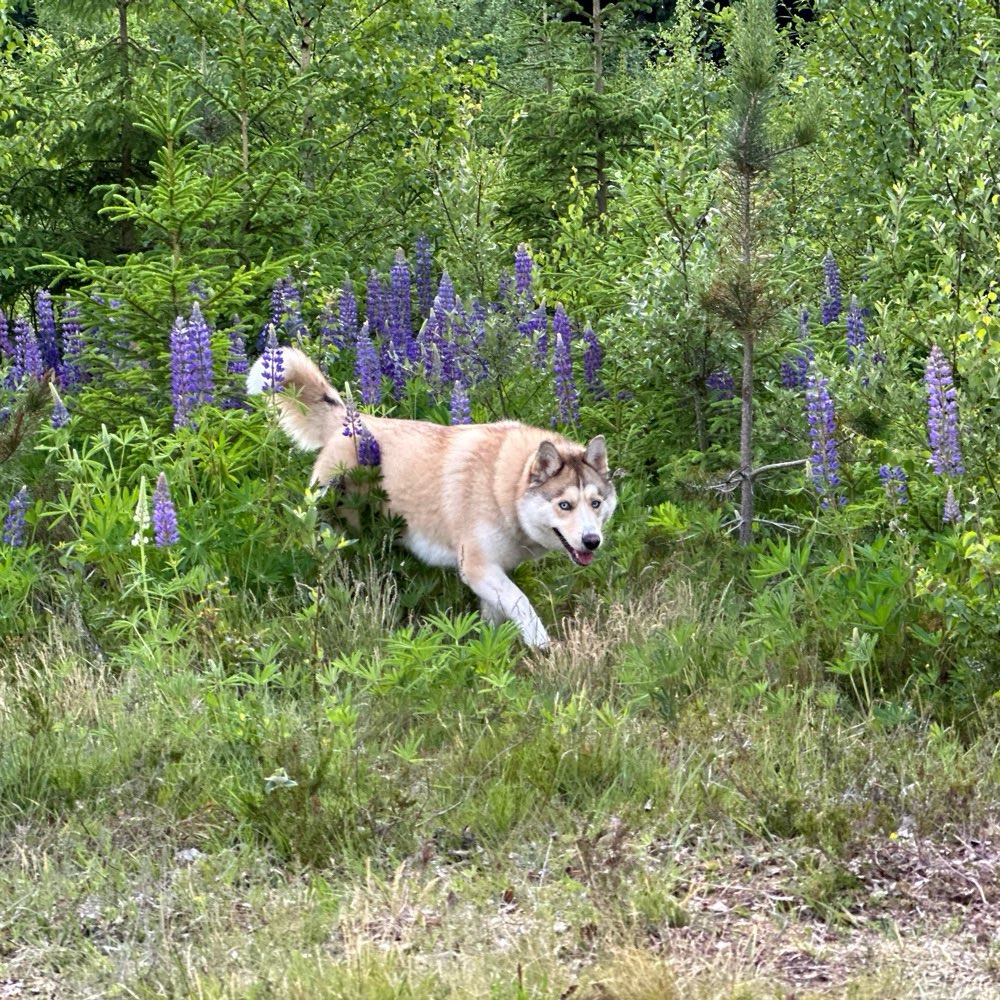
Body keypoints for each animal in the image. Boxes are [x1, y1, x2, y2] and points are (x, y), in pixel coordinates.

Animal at [246, 350, 612, 648]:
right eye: (564, 505)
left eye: (596, 504)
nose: (592, 541)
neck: (502, 487)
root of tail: (350, 421)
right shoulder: (477, 568)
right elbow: (522, 604)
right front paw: (542, 646)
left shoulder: (492, 573)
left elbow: (495, 619)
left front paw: (490, 648)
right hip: (333, 529)